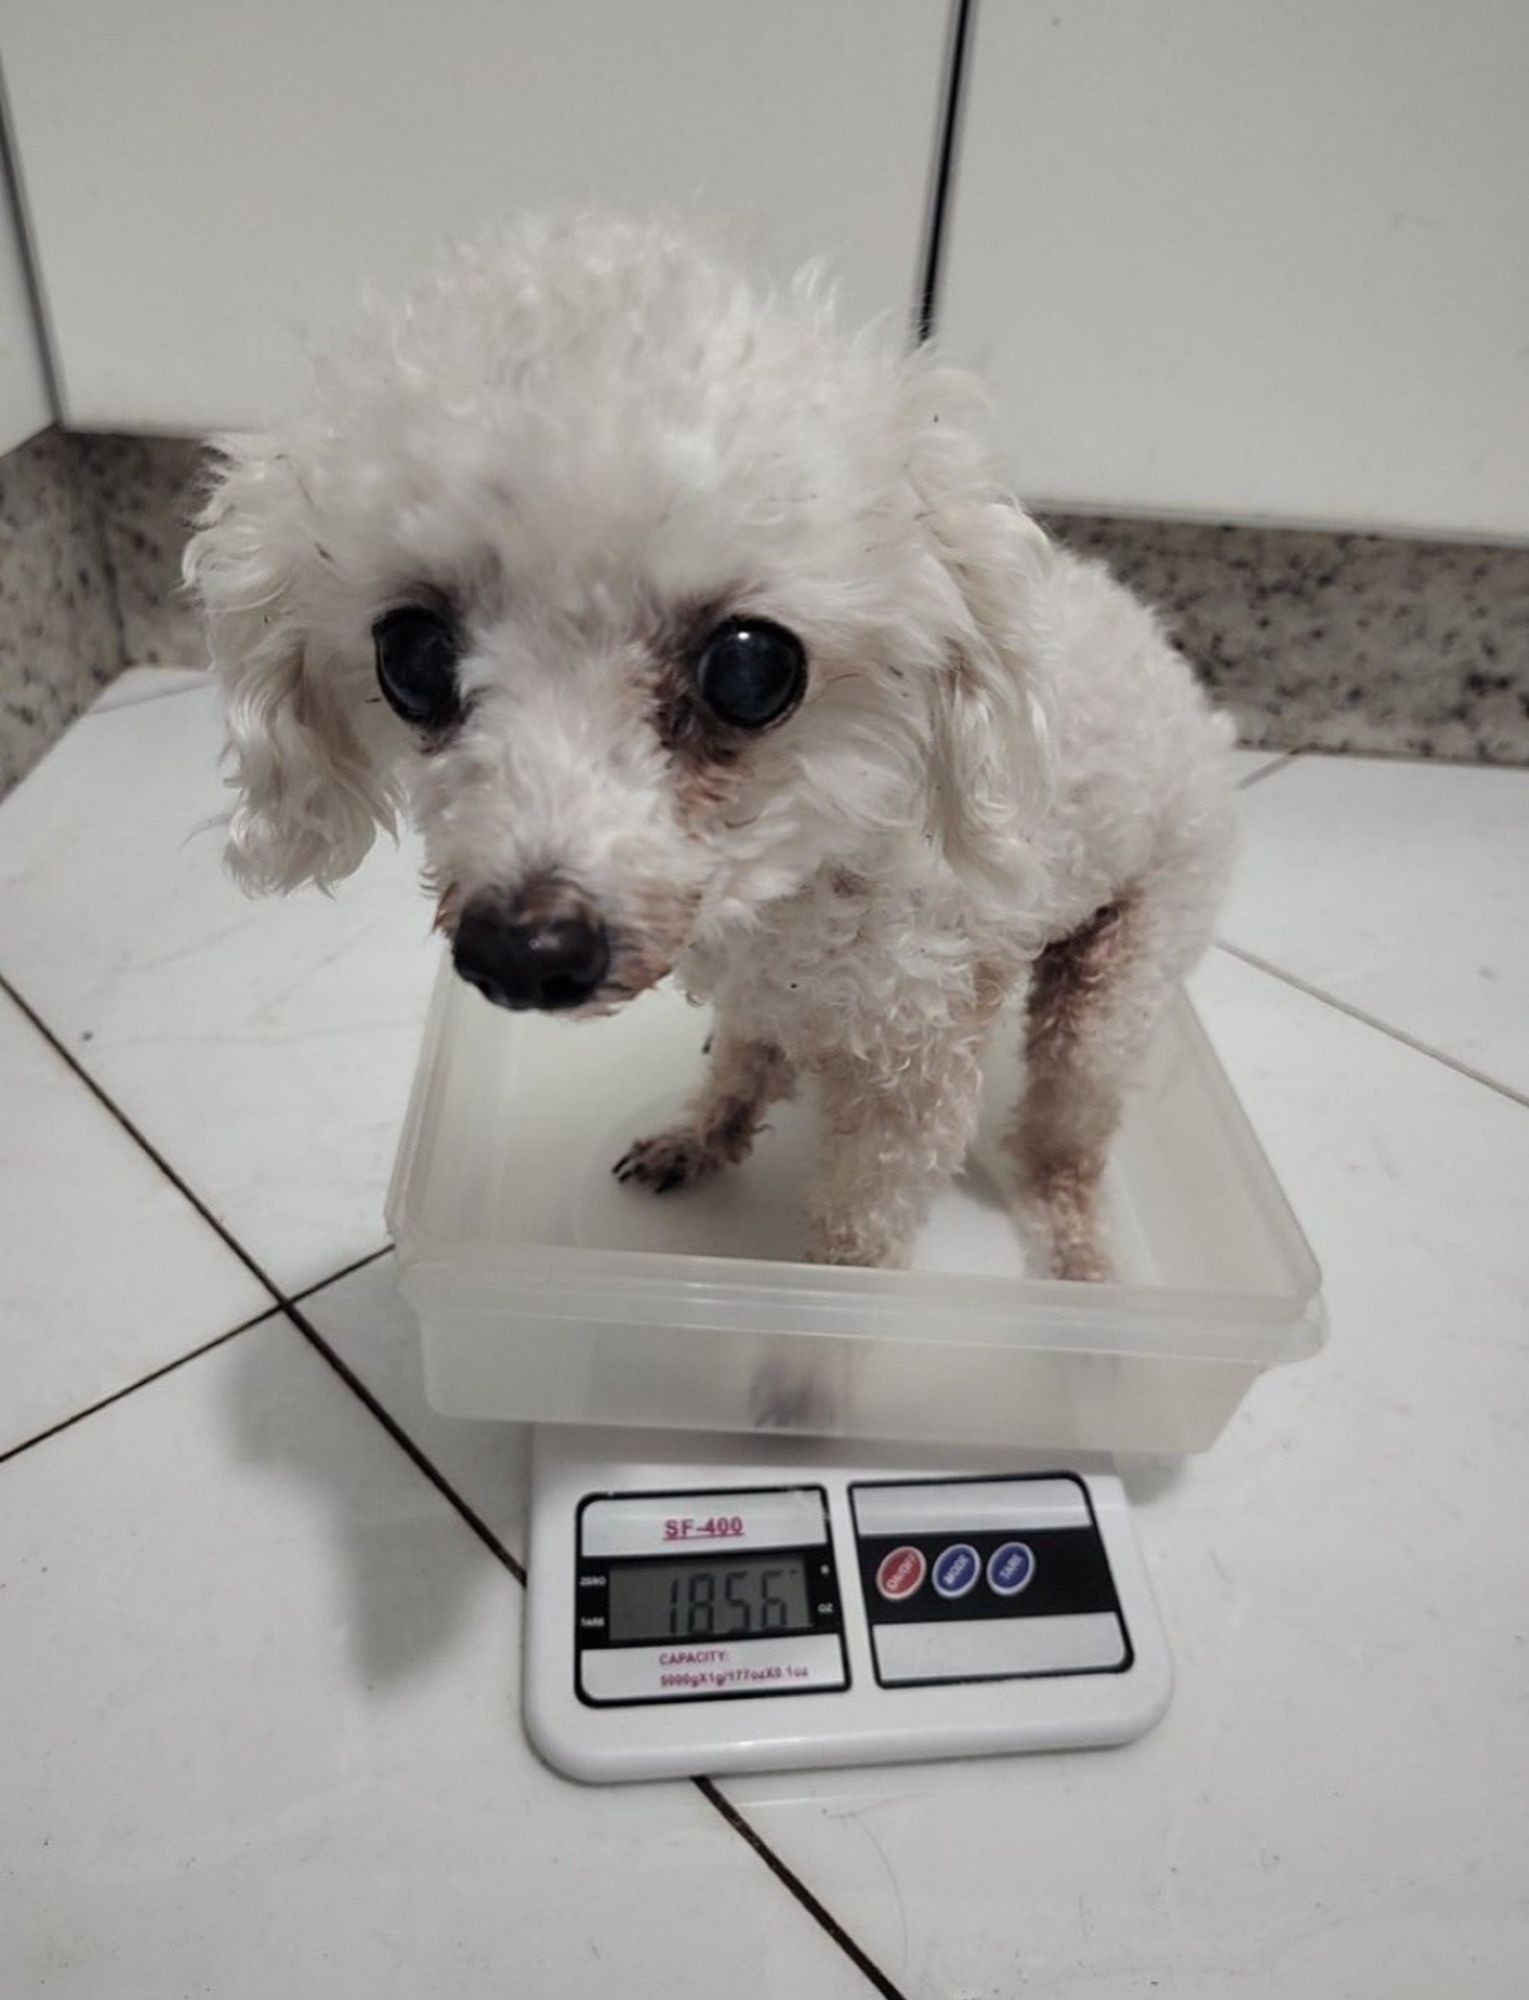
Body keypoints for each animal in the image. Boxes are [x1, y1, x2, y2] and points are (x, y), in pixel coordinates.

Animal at [188, 215, 1240, 1280]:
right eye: (409, 656)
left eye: (749, 667)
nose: (520, 956)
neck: (799, 880)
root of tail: (1178, 670)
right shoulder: (759, 989)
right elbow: (741, 1062)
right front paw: (700, 1133)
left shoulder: (910, 1084)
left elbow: (857, 1235)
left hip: (1122, 975)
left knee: (1066, 1135)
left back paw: (1078, 1250)